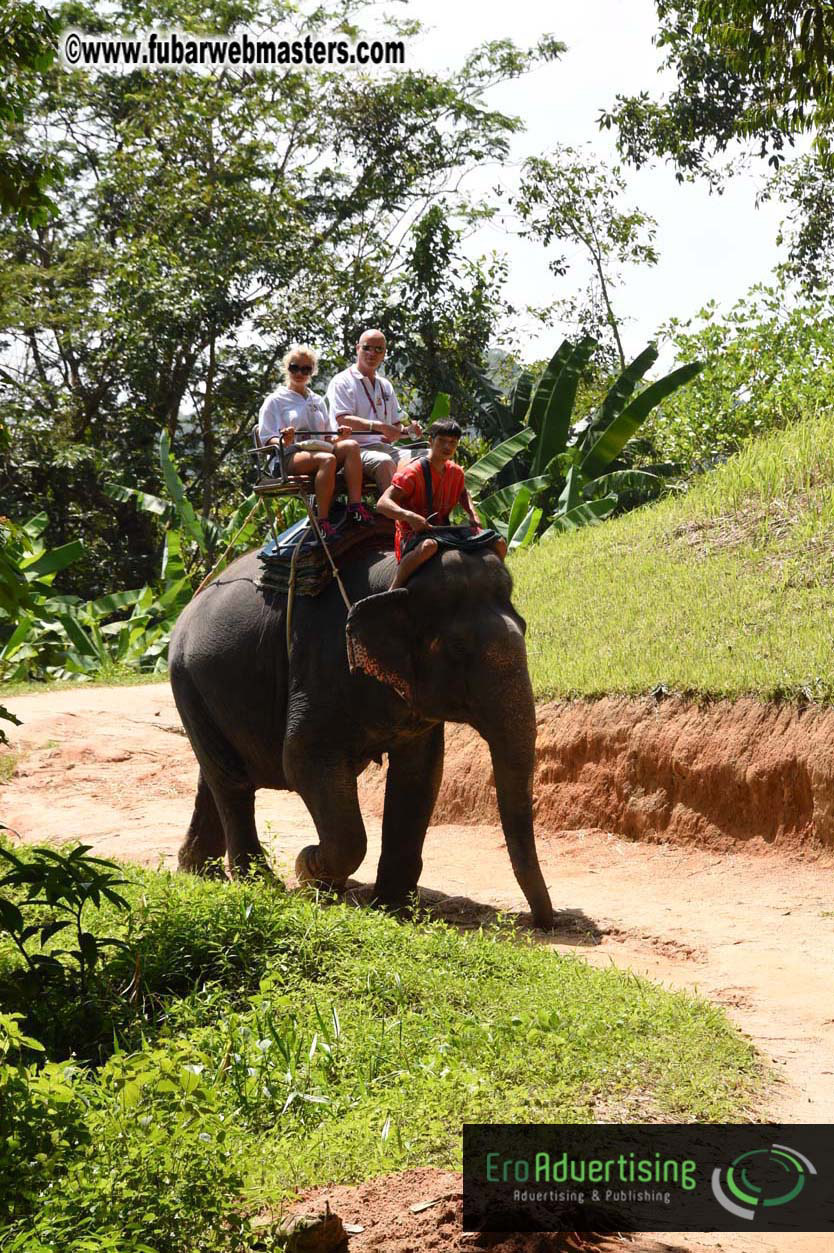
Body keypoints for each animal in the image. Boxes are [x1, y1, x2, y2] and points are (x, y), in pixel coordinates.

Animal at [168, 538, 554, 930]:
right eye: (458, 648)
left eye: (524, 628)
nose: (543, 922)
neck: (397, 579)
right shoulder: (321, 664)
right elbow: (302, 761)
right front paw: (308, 869)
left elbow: (420, 774)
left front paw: (391, 908)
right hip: (187, 682)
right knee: (232, 784)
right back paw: (261, 885)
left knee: (213, 776)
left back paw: (198, 871)